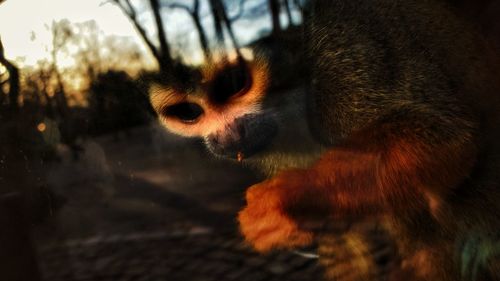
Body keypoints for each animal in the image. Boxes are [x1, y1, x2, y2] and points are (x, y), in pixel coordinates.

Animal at [150, 0, 500, 278]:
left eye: (233, 83)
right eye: (188, 111)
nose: (225, 135)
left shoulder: (345, 62)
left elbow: (444, 139)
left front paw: (290, 199)